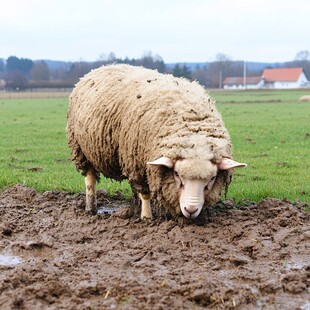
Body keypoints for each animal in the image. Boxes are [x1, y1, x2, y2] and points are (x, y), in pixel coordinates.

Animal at [66, 63, 246, 218]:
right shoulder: (138, 163)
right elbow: (145, 192)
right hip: (81, 148)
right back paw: (91, 208)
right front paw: (147, 217)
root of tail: (102, 67)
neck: (193, 125)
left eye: (212, 179)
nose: (190, 210)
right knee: (90, 179)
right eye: (176, 174)